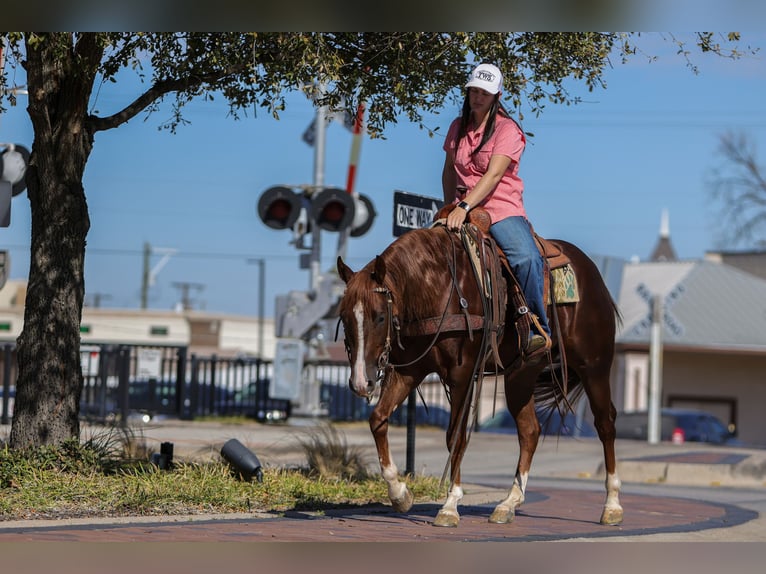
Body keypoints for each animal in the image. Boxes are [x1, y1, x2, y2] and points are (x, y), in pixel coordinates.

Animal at [336, 209, 623, 529]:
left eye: (379, 316)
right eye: (344, 316)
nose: (361, 382)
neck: (437, 287)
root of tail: (593, 273)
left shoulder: (462, 376)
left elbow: (456, 437)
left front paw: (450, 506)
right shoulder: (409, 372)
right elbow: (378, 419)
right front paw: (400, 494)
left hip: (594, 367)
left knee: (605, 424)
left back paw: (612, 505)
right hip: (521, 375)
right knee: (529, 431)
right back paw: (508, 503)